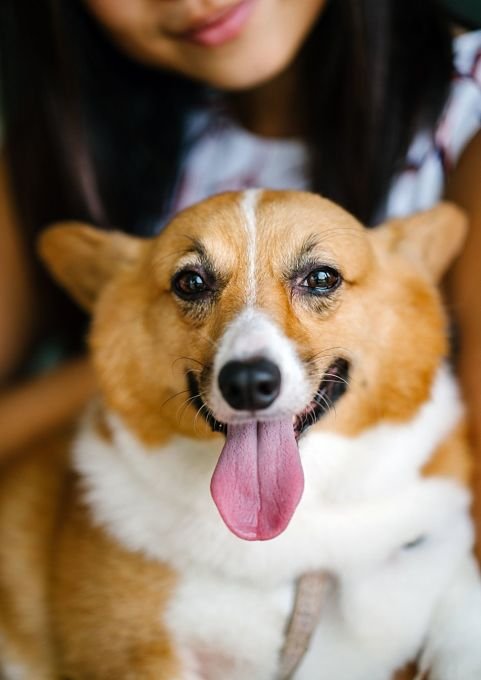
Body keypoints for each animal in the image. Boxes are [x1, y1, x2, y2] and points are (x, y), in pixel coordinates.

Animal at [0, 190, 480, 680]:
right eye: (191, 282)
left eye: (321, 277)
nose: (248, 382)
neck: (293, 540)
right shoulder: (133, 655)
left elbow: (462, 609)